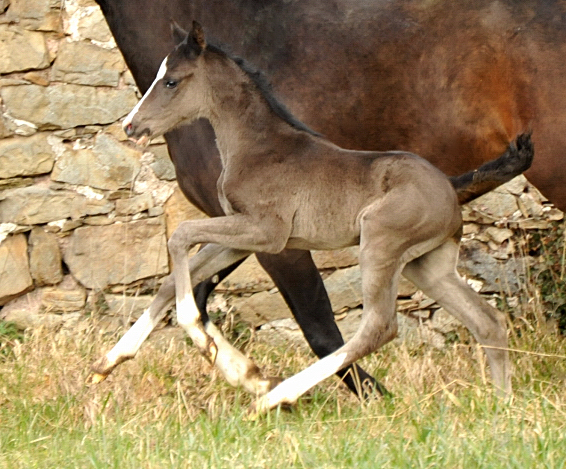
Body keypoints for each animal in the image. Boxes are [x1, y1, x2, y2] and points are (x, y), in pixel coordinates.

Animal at [92, 0, 552, 392]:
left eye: (171, 81)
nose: (131, 125)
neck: (258, 146)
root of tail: (450, 186)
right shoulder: (244, 235)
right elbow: (176, 276)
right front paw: (110, 361)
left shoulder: (269, 233)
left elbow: (182, 237)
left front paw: (238, 368)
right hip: (427, 265)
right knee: (487, 321)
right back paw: (501, 403)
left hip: (379, 242)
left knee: (379, 327)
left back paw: (277, 396)